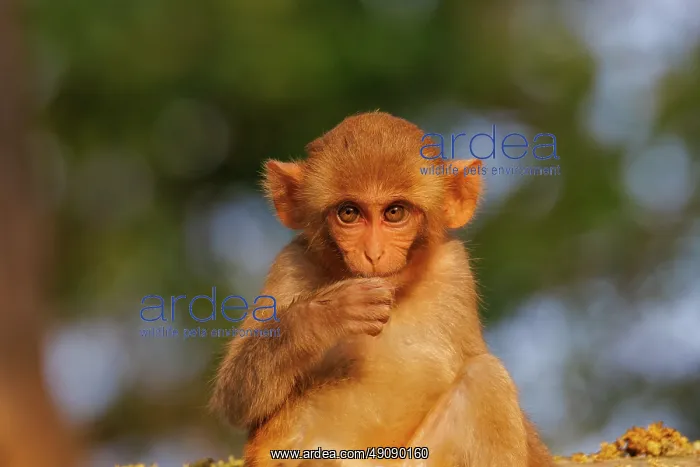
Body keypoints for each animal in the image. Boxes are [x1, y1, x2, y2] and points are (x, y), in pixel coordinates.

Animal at [210, 111, 555, 467]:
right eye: (349, 212)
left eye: (395, 212)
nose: (373, 254)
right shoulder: (291, 264)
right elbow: (236, 397)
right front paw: (331, 313)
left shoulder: (453, 269)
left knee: (485, 378)